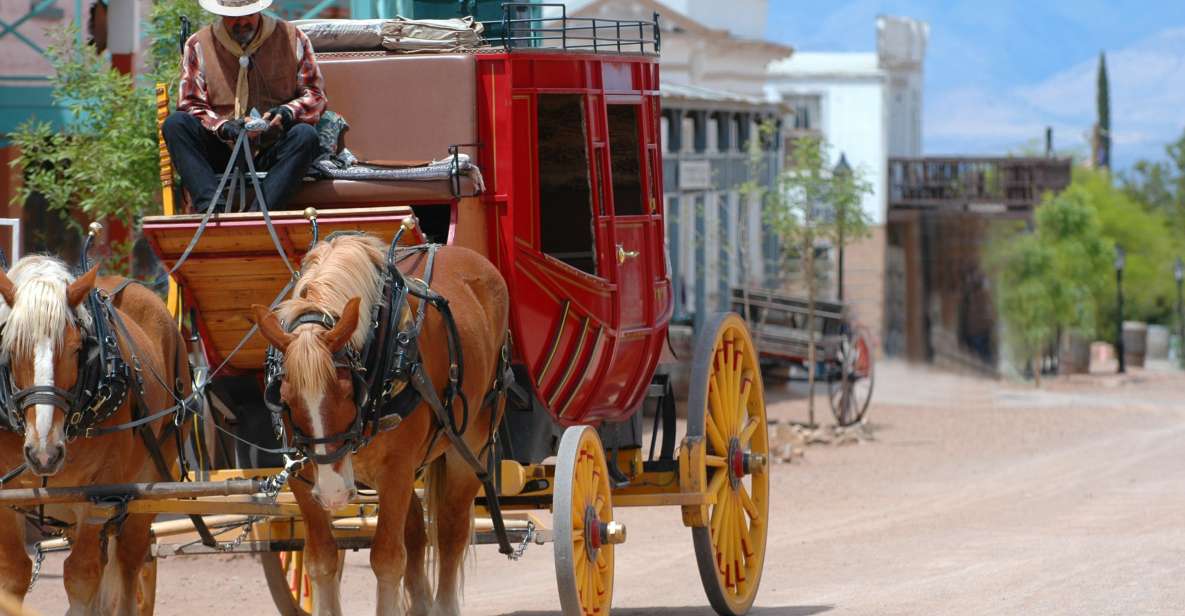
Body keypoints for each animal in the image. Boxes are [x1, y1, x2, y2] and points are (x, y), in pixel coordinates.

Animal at [0, 255, 190, 616]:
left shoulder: (99, 496)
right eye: (11, 349)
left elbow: (82, 576)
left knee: (130, 561)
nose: (44, 453)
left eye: (77, 350)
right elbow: (13, 576)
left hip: (150, 480)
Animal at [252, 235, 507, 616]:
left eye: (347, 391)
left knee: (450, 531)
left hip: (470, 446)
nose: (334, 493)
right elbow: (321, 561)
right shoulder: (302, 475)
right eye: (284, 396)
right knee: (416, 531)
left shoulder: (397, 469)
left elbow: (387, 559)